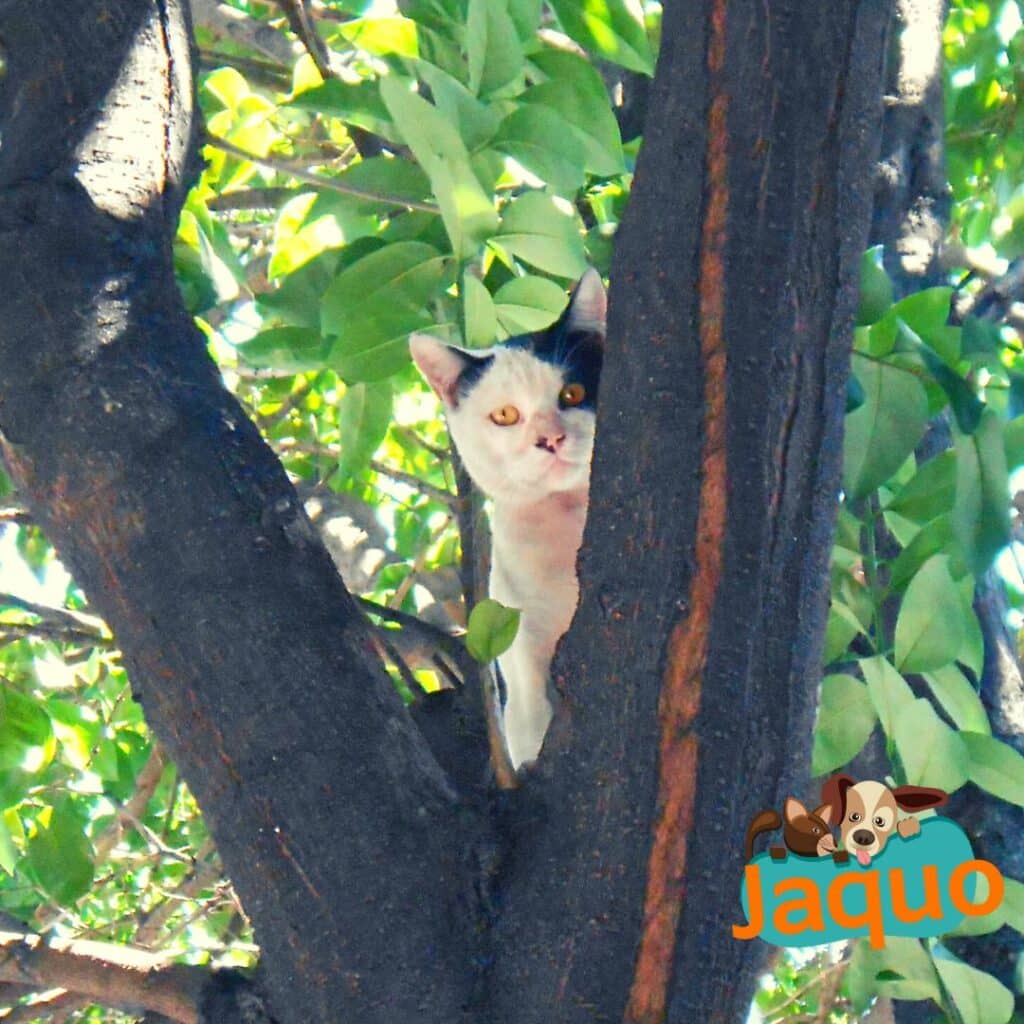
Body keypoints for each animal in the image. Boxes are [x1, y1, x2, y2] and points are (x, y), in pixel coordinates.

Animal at [411, 272, 606, 770]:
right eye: (505, 415)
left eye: (573, 394)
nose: (550, 438)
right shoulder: (521, 628)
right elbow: (529, 700)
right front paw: (532, 750)